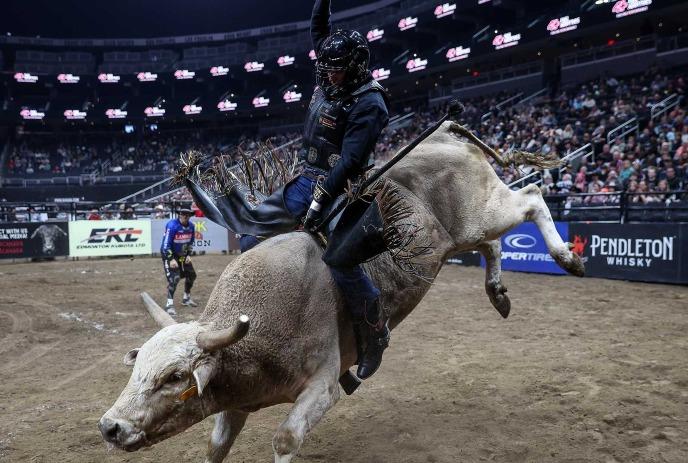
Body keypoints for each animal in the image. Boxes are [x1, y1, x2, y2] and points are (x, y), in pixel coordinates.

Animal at [99, 121, 584, 462]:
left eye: (175, 377)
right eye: (137, 366)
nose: (110, 427)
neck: (256, 331)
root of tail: (444, 133)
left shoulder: (322, 386)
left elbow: (285, 437)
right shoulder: (236, 402)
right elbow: (215, 446)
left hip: (486, 210)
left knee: (532, 198)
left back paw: (568, 258)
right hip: (462, 236)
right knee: (493, 244)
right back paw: (498, 291)